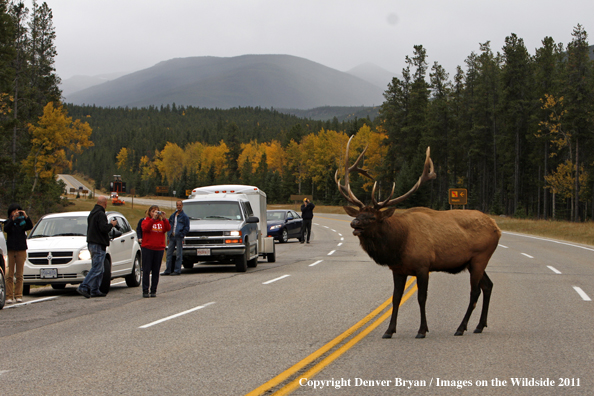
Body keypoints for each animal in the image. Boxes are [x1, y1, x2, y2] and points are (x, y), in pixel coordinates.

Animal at [336, 138, 498, 338]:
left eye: (373, 217)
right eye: (358, 214)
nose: (354, 223)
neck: (398, 245)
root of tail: (497, 228)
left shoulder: (423, 265)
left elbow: (422, 298)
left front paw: (422, 330)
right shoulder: (398, 269)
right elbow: (396, 298)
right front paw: (389, 330)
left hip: (480, 257)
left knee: (475, 291)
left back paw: (461, 328)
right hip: (471, 262)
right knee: (488, 286)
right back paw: (479, 325)